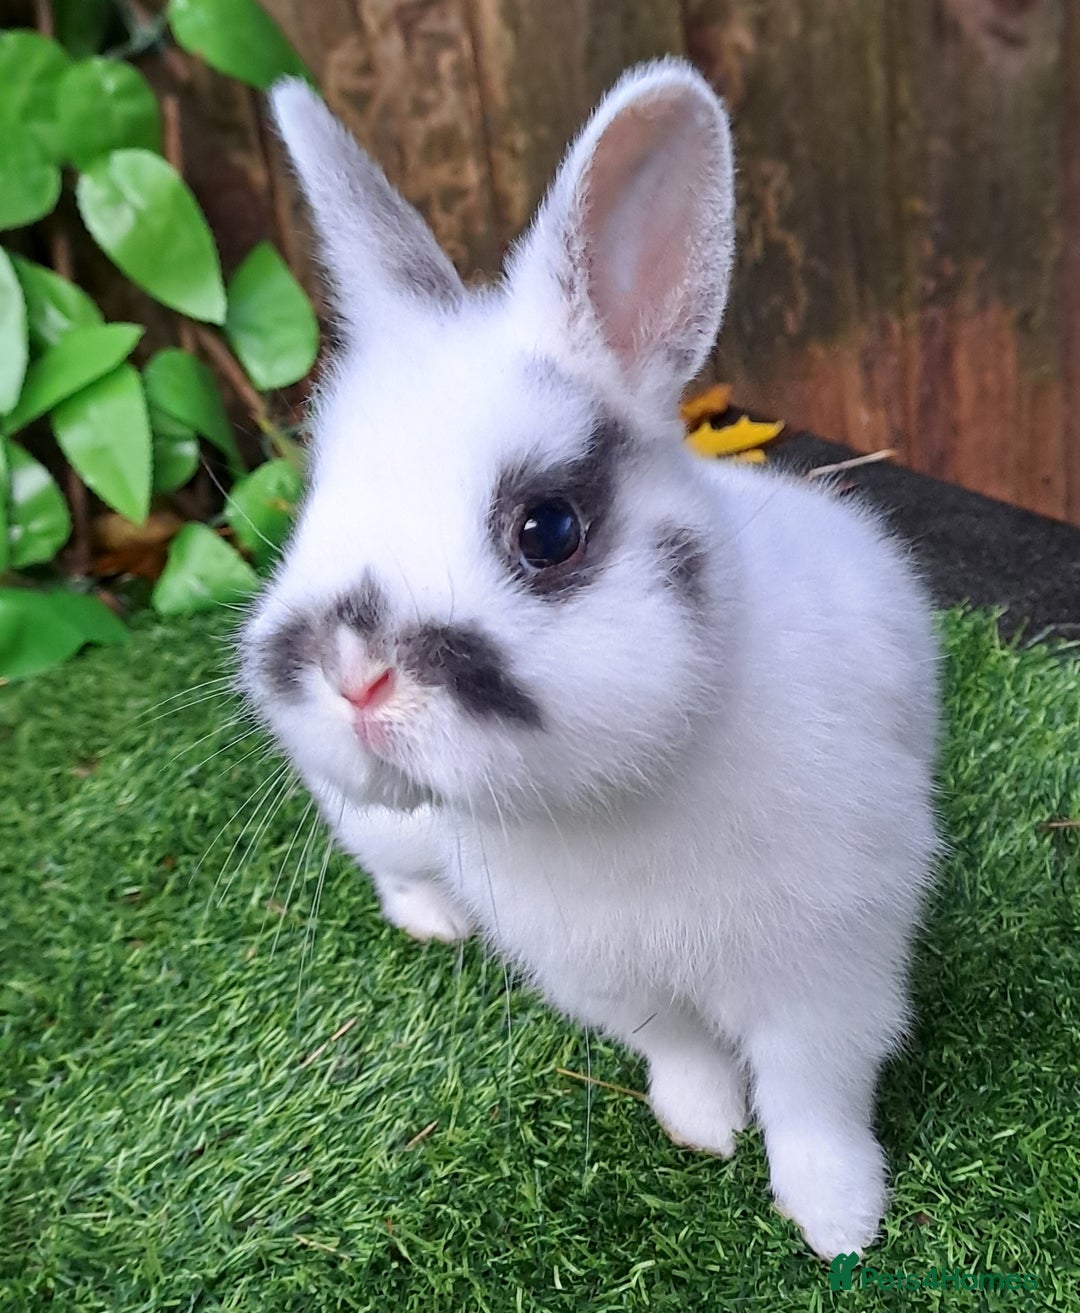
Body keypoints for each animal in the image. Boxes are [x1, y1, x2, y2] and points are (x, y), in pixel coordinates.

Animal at [241, 59, 939, 1261]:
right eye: (312, 501)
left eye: (550, 528)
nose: (353, 674)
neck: (612, 798)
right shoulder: (609, 979)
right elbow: (683, 1051)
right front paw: (703, 1126)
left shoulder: (829, 974)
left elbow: (814, 1100)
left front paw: (839, 1221)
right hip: (381, 826)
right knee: (389, 864)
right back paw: (435, 919)